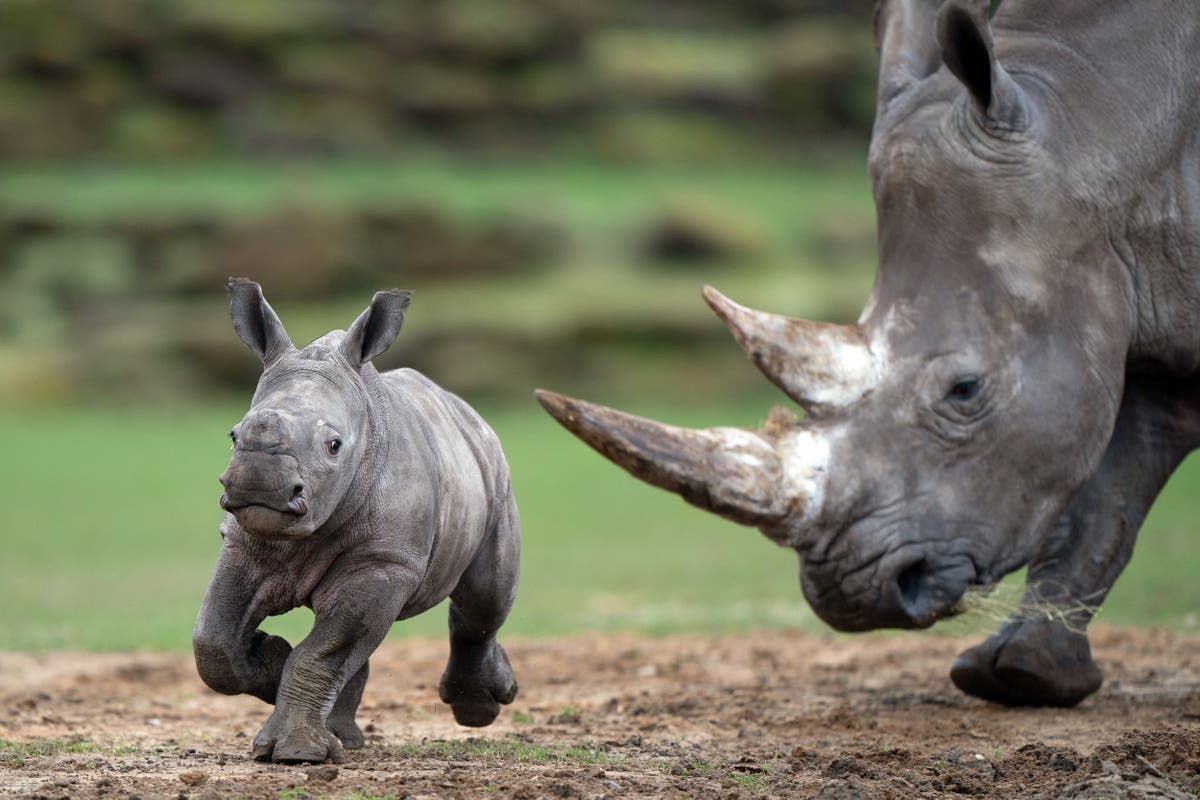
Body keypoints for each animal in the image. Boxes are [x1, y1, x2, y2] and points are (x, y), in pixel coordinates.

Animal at [194, 280, 520, 763]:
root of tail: (467, 411)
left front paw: (298, 754)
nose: (259, 486)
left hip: (495, 475)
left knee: (485, 599)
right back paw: (344, 737)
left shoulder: (385, 561)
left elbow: (325, 650)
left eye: (334, 445)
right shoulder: (242, 543)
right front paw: (272, 659)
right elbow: (214, 641)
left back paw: (480, 711)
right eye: (234, 435)